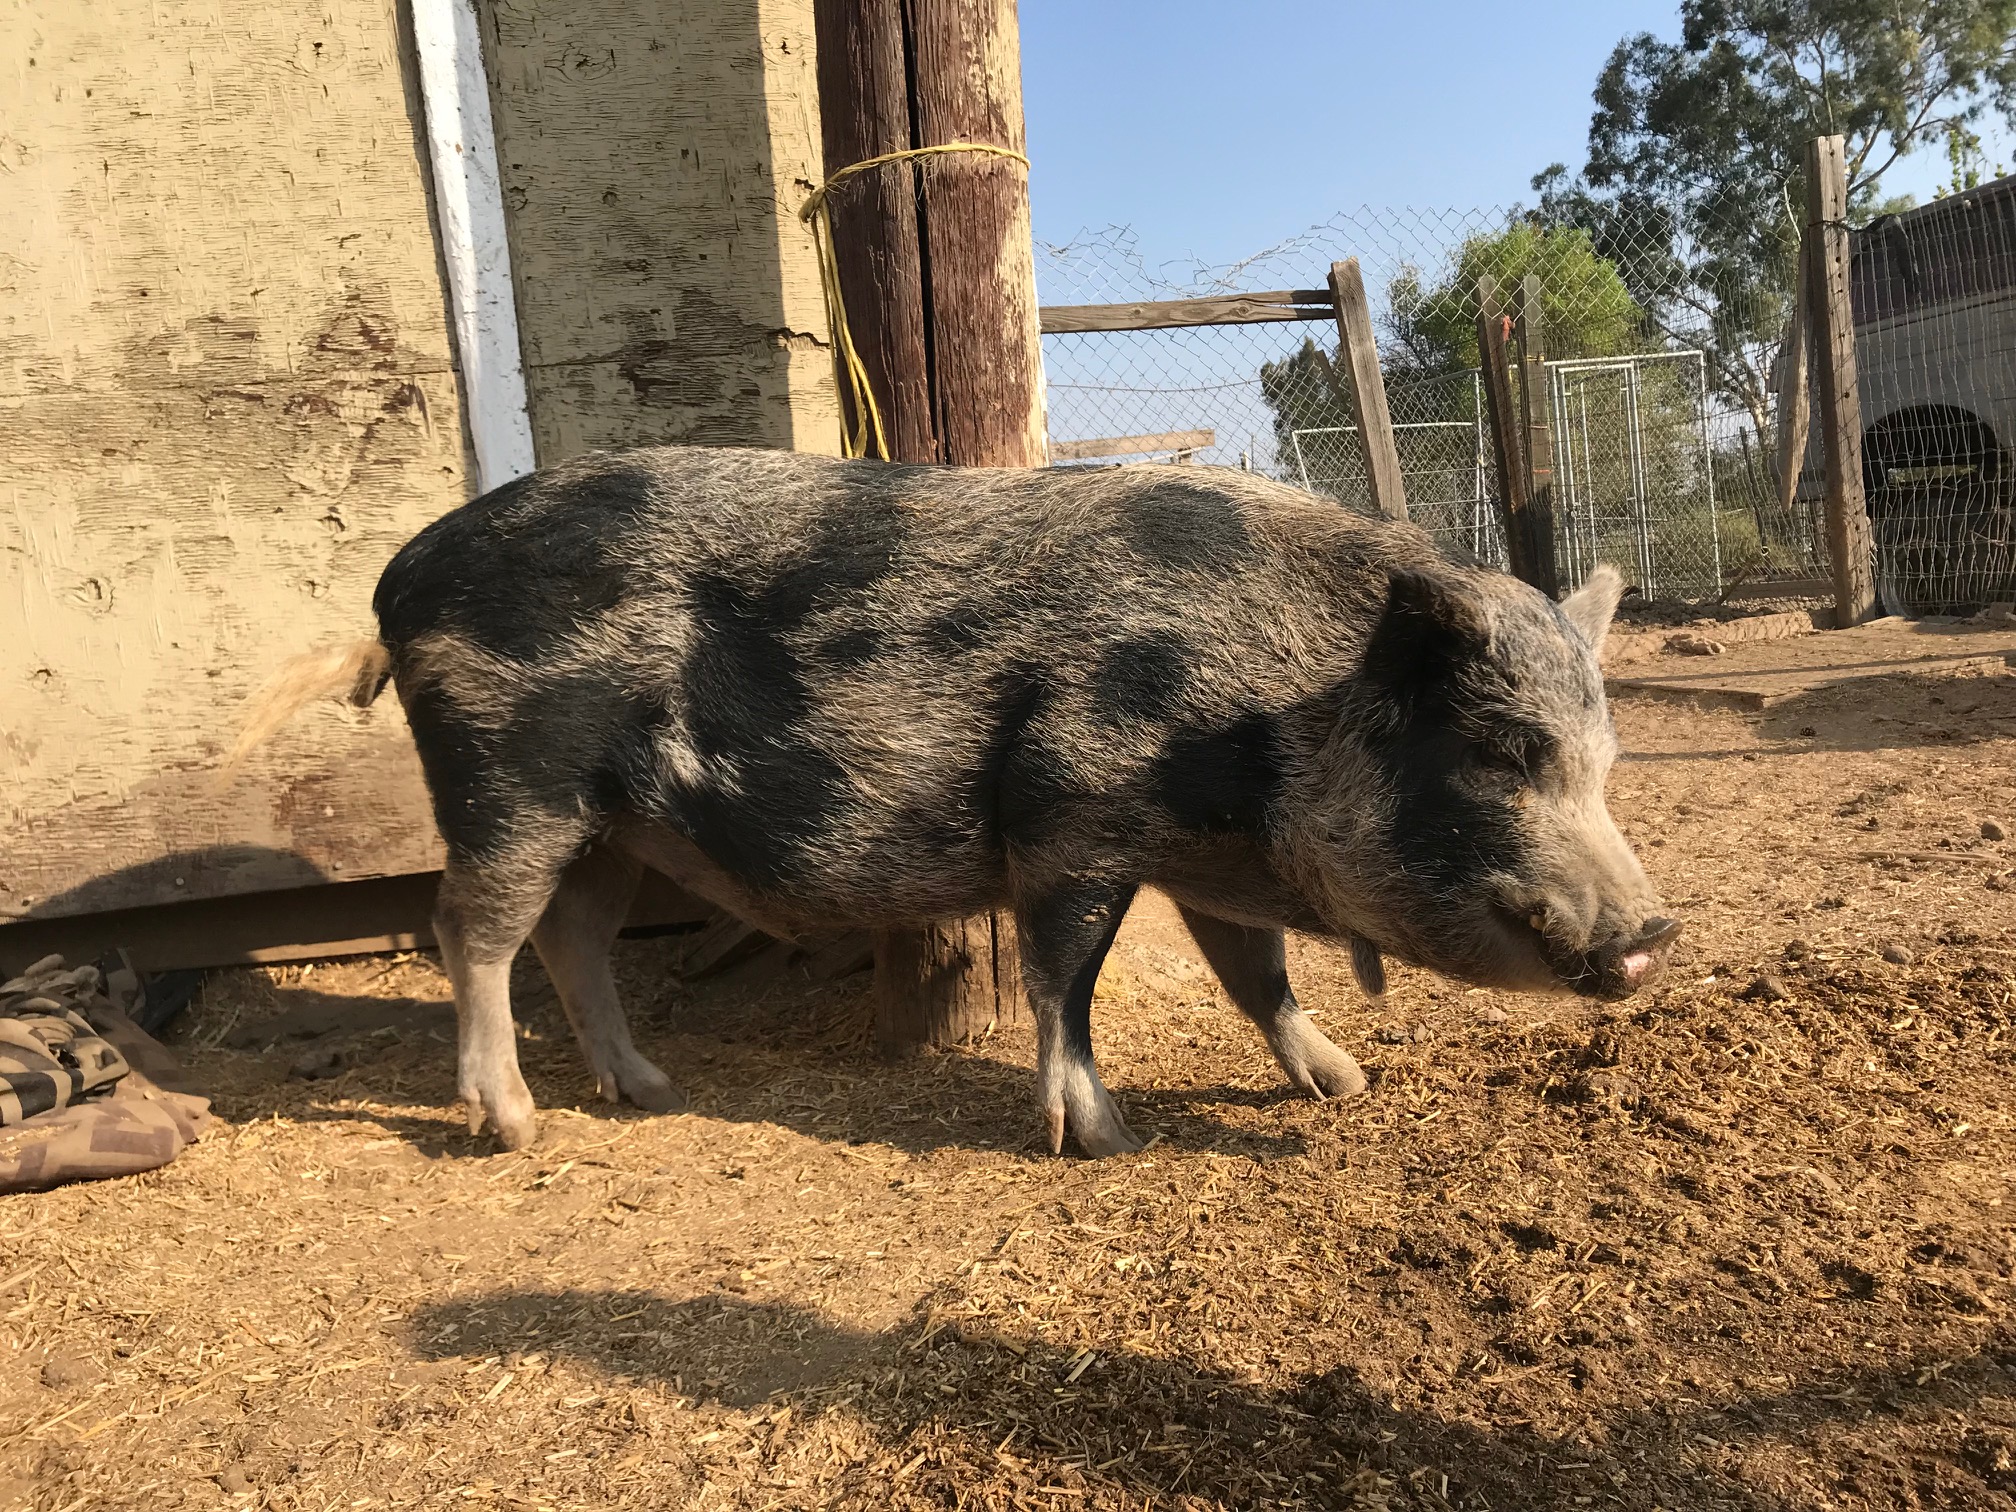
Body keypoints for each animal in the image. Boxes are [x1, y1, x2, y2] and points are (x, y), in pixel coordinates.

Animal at [234, 445, 1679, 1156]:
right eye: (1500, 755)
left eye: (1604, 765)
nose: (1654, 930)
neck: (1264, 708)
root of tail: (399, 577)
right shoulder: (1071, 812)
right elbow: (1065, 978)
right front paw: (1102, 1141)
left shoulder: (1202, 859)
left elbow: (1256, 977)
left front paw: (1344, 1085)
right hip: (510, 771)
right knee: (469, 928)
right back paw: (513, 1128)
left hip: (612, 817)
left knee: (573, 934)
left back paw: (648, 1091)